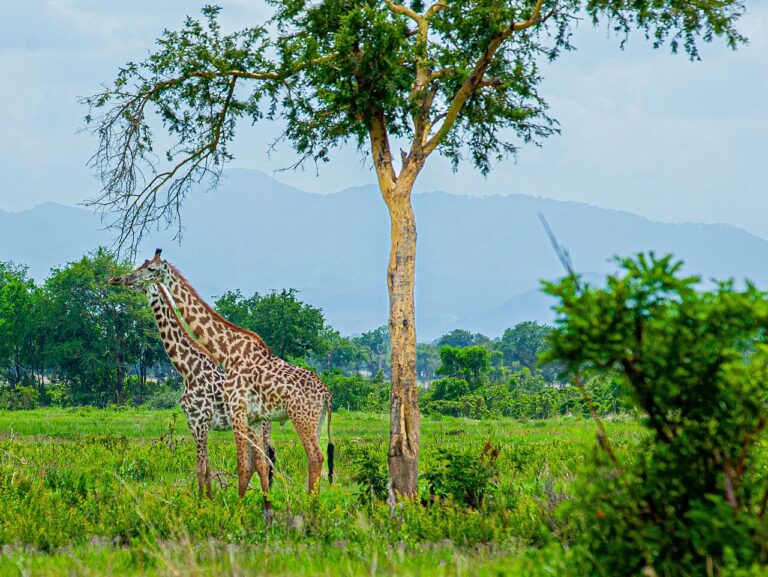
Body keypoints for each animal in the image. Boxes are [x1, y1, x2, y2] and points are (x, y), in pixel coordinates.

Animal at [107, 278, 275, 497]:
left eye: (136, 276)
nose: (114, 280)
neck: (188, 369)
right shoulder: (193, 423)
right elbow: (207, 468)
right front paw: (210, 499)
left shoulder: (201, 422)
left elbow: (201, 467)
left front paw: (201, 502)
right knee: (257, 461)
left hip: (260, 426)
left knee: (264, 459)